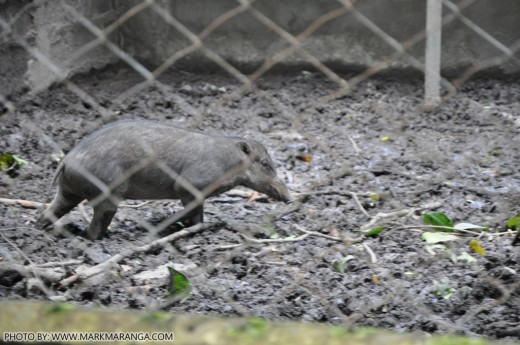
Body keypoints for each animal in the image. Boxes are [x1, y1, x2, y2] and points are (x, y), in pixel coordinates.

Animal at [38, 119, 290, 238]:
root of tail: (66, 161)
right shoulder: (189, 186)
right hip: (108, 193)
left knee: (50, 211)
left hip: (68, 191)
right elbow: (194, 214)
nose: (288, 197)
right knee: (97, 224)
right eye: (265, 163)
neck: (230, 162)